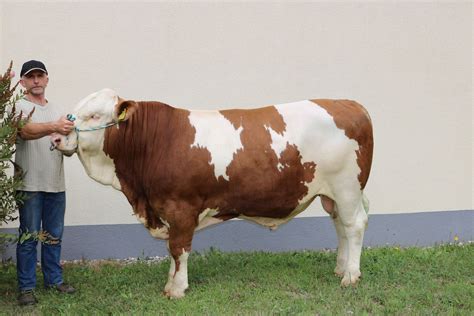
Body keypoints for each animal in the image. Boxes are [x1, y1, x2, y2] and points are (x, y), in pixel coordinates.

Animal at [52, 89, 374, 298]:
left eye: (94, 115)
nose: (56, 136)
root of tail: (349, 103)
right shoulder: (167, 210)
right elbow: (172, 249)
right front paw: (170, 284)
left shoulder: (181, 207)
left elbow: (178, 248)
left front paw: (177, 289)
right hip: (332, 194)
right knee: (340, 226)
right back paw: (340, 268)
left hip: (346, 186)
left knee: (354, 225)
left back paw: (350, 276)